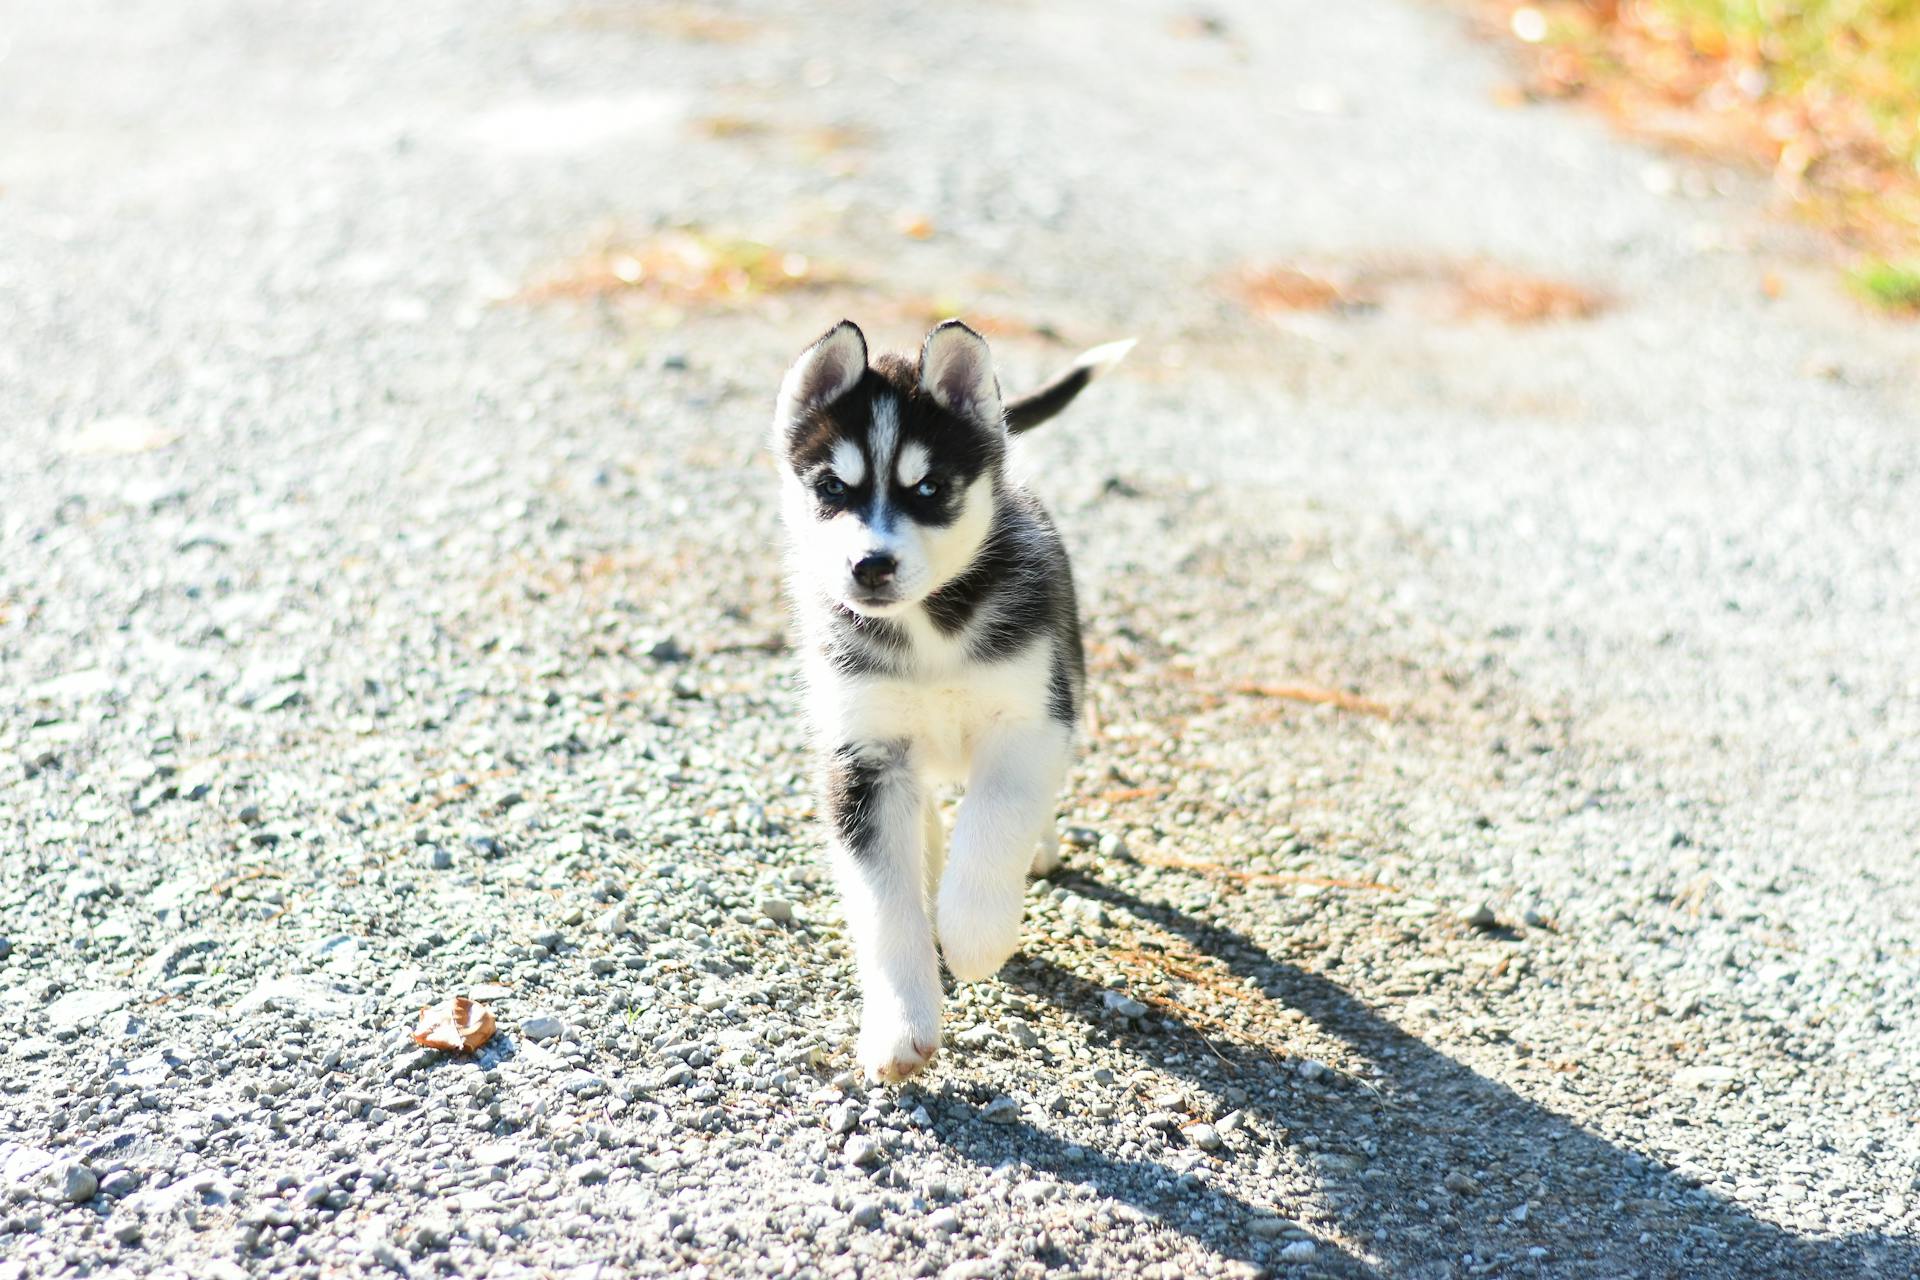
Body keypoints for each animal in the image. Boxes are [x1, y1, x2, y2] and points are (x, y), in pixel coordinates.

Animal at [771, 320, 1128, 1082]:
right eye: (831, 488)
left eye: (930, 487)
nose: (870, 566)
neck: (926, 630)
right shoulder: (861, 757)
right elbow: (884, 905)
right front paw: (899, 1026)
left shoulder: (1028, 723)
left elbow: (994, 825)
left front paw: (973, 936)